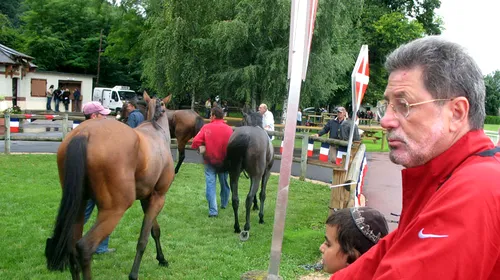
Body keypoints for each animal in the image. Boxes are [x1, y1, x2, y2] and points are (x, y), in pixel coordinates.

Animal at [45, 93, 177, 278]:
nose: (120, 115)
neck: (156, 130)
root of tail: (84, 133)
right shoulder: (159, 197)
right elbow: (143, 238)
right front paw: (134, 274)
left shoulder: (147, 198)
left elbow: (154, 230)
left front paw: (162, 259)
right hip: (115, 209)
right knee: (84, 247)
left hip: (78, 205)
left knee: (72, 247)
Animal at [225, 111, 276, 241]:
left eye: (242, 120)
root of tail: (246, 136)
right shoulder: (265, 173)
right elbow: (262, 194)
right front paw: (261, 217)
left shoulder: (251, 175)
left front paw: (255, 206)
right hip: (257, 175)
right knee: (248, 198)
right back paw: (246, 227)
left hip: (234, 174)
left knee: (235, 199)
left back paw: (237, 227)